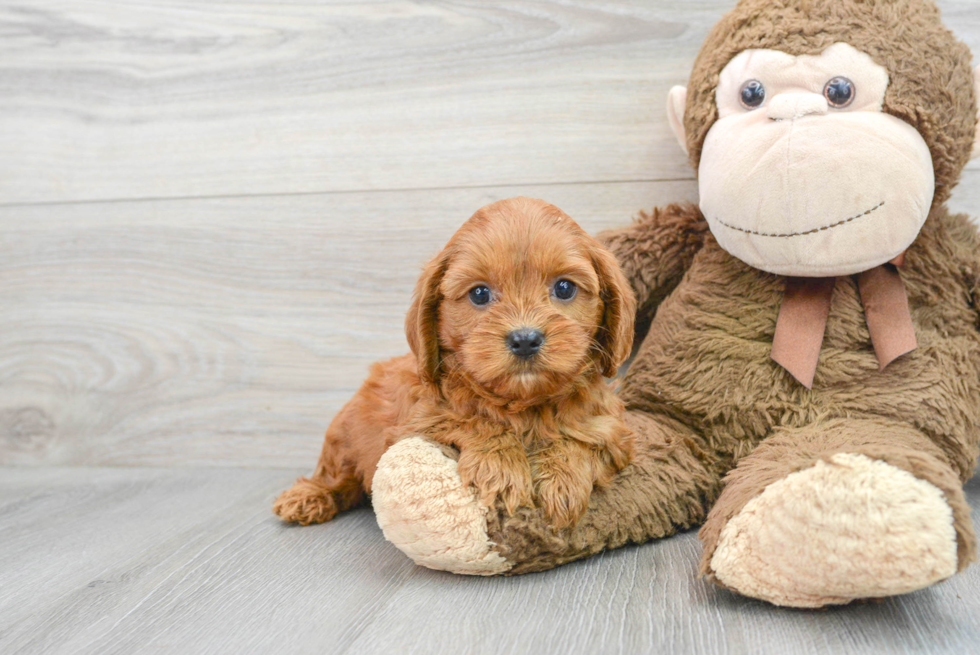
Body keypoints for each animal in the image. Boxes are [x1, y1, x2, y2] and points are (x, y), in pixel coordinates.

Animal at [276, 197, 640, 532]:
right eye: (479, 294)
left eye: (564, 288)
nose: (525, 339)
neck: (524, 404)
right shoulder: (418, 422)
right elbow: (472, 420)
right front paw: (502, 467)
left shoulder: (613, 429)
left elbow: (584, 436)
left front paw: (564, 477)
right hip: (343, 438)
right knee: (336, 476)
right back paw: (308, 497)